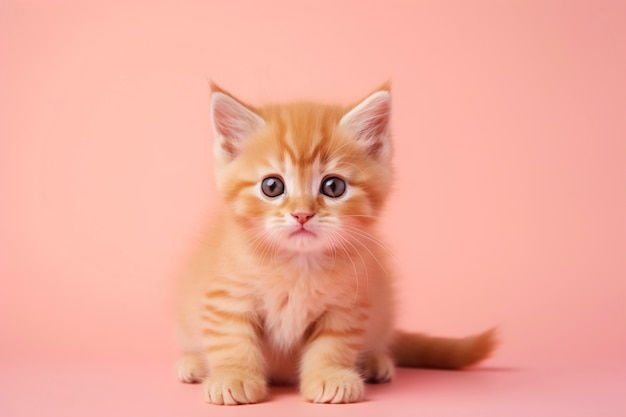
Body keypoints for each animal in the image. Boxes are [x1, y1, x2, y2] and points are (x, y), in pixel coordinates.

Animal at [173, 84, 494, 404]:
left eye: (333, 186)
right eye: (272, 186)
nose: (302, 214)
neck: (298, 265)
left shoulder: (347, 305)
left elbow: (332, 345)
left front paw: (330, 377)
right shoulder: (227, 295)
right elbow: (231, 338)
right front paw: (234, 376)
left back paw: (375, 361)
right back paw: (192, 362)